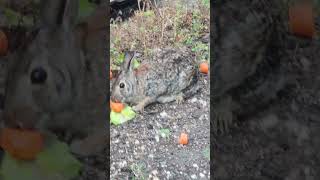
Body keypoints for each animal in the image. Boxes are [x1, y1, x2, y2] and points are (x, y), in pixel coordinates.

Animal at [1, 0, 108, 156]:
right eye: (9, 66)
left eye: (38, 75)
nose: (10, 120)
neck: (82, 74)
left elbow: (102, 134)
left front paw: (80, 147)